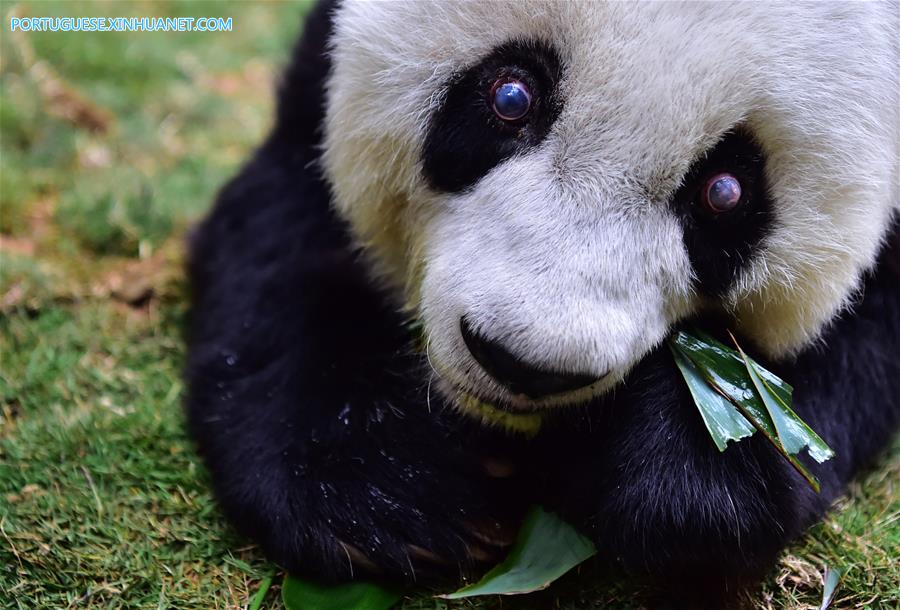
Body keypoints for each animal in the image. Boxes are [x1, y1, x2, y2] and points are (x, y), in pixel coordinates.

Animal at [186, 0, 900, 604]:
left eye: (725, 192)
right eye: (511, 96)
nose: (522, 363)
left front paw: (687, 477)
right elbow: (283, 239)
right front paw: (384, 490)